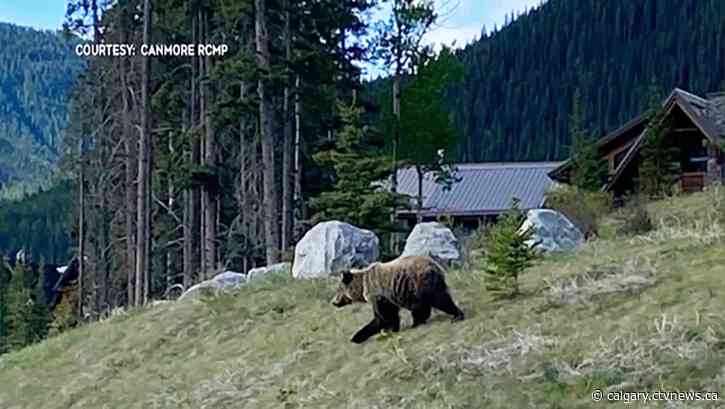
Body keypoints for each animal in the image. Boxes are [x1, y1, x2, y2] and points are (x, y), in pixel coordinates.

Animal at [331, 255, 464, 344]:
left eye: (338, 291)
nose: (333, 302)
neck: (363, 286)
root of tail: (434, 265)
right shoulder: (389, 297)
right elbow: (386, 316)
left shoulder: (379, 295)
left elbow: (383, 317)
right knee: (427, 304)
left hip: (420, 283)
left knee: (439, 300)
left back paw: (456, 315)